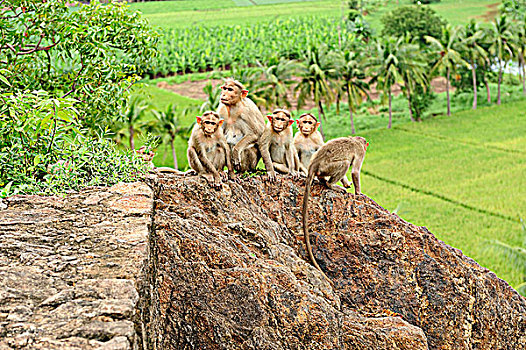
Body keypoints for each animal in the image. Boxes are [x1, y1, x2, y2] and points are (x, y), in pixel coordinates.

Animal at [302, 136, 372, 282]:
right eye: (365, 146)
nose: (366, 147)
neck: (356, 140)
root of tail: (313, 165)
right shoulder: (360, 151)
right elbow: (354, 171)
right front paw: (358, 193)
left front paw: (347, 184)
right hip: (327, 167)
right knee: (345, 163)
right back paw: (330, 185)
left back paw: (323, 181)